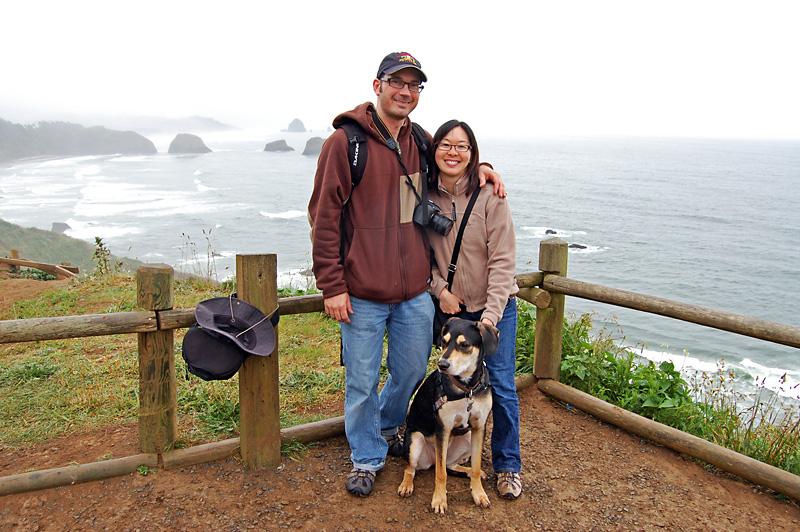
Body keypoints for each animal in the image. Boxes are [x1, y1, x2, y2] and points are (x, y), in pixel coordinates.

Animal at [396, 318, 496, 512]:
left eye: (464, 344)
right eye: (444, 341)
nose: (442, 365)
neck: (466, 389)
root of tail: (432, 461)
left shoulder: (479, 428)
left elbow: (476, 465)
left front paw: (479, 493)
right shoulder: (443, 429)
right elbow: (441, 474)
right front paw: (439, 500)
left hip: (467, 438)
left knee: (451, 465)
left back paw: (470, 472)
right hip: (415, 442)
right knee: (412, 469)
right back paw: (406, 485)